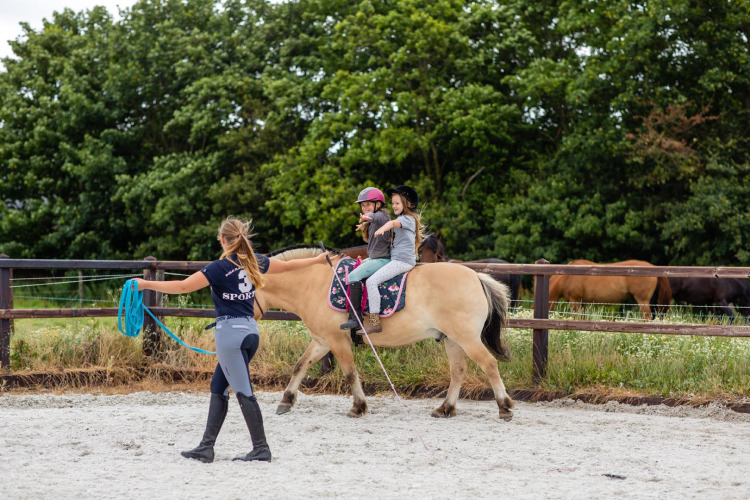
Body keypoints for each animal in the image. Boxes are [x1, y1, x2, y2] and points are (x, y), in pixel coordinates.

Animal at [255, 246, 515, 419]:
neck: (312, 283)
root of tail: (476, 276)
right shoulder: (322, 341)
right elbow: (300, 366)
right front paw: (286, 400)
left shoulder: (337, 340)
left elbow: (350, 373)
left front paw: (358, 406)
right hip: (452, 339)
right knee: (458, 370)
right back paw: (445, 408)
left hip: (467, 338)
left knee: (489, 364)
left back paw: (504, 406)